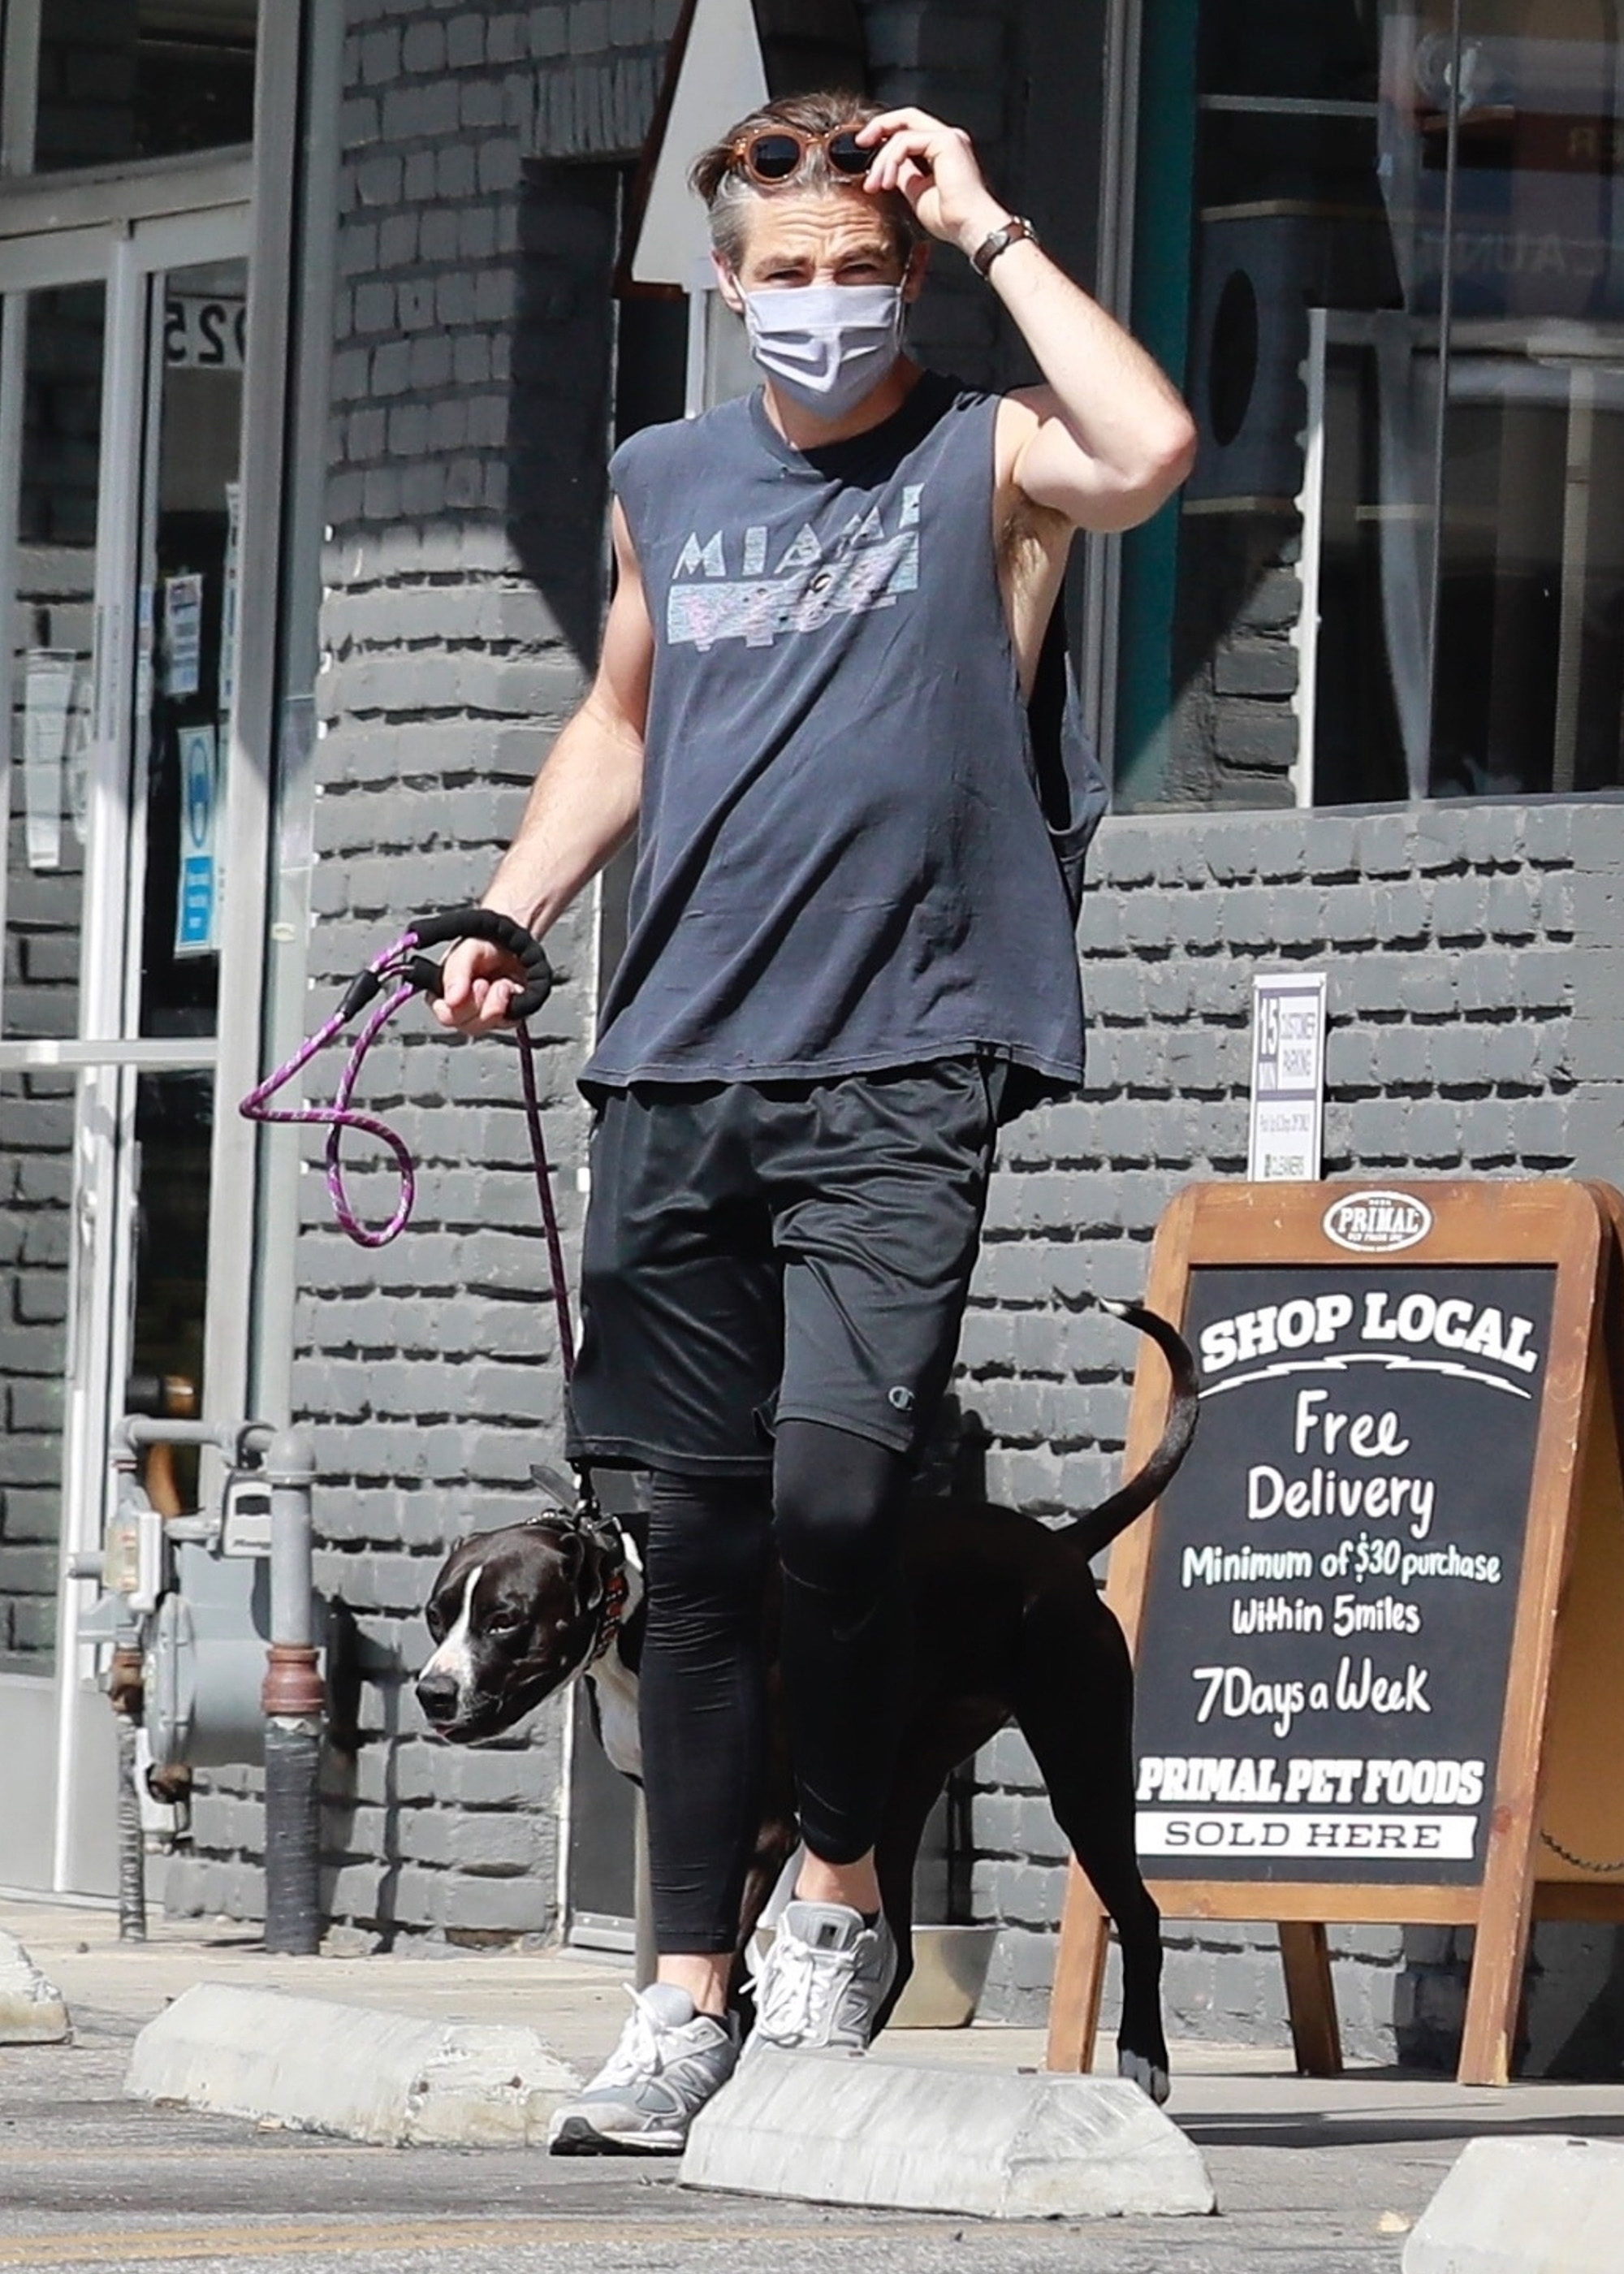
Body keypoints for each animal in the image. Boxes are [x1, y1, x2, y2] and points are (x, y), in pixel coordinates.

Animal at [413, 1300, 1200, 2092]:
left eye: (506, 1620)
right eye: (436, 1616)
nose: (433, 1692)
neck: (633, 1603)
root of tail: (1060, 1549)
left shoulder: (764, 1824)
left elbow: (732, 1940)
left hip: (1083, 1771)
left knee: (1138, 1910)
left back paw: (1145, 2056)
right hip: (893, 1797)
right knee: (899, 1944)